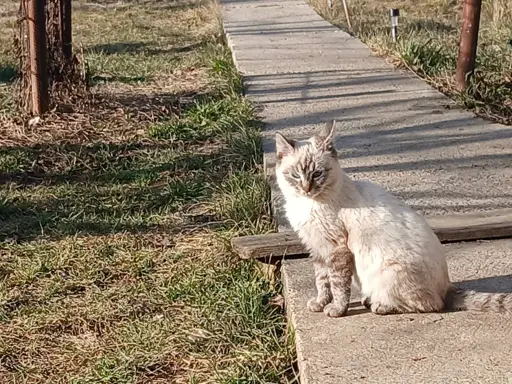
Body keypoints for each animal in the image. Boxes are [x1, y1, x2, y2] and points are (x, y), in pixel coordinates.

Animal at [276, 121, 512, 318]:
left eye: (317, 174)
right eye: (296, 175)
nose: (306, 188)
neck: (307, 204)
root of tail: (447, 287)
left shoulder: (336, 250)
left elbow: (337, 285)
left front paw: (336, 310)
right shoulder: (317, 248)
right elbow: (322, 281)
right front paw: (319, 304)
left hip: (390, 271)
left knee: (431, 305)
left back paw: (379, 305)